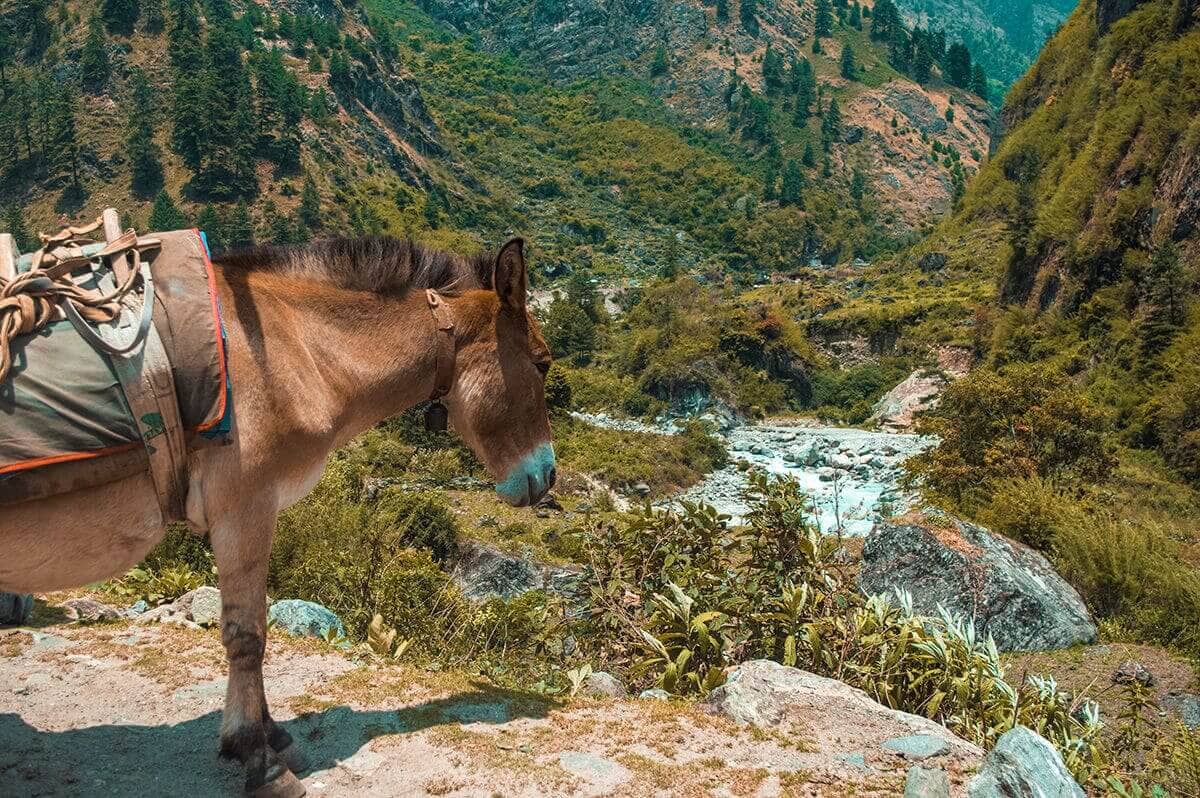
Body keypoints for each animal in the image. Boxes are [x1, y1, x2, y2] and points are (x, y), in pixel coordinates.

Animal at [0, 236, 556, 796]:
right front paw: (256, 755)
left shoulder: (252, 513)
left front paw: (269, 734)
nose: (548, 476)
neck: (294, 349)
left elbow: (254, 624)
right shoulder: (245, 509)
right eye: (543, 364)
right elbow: (247, 634)